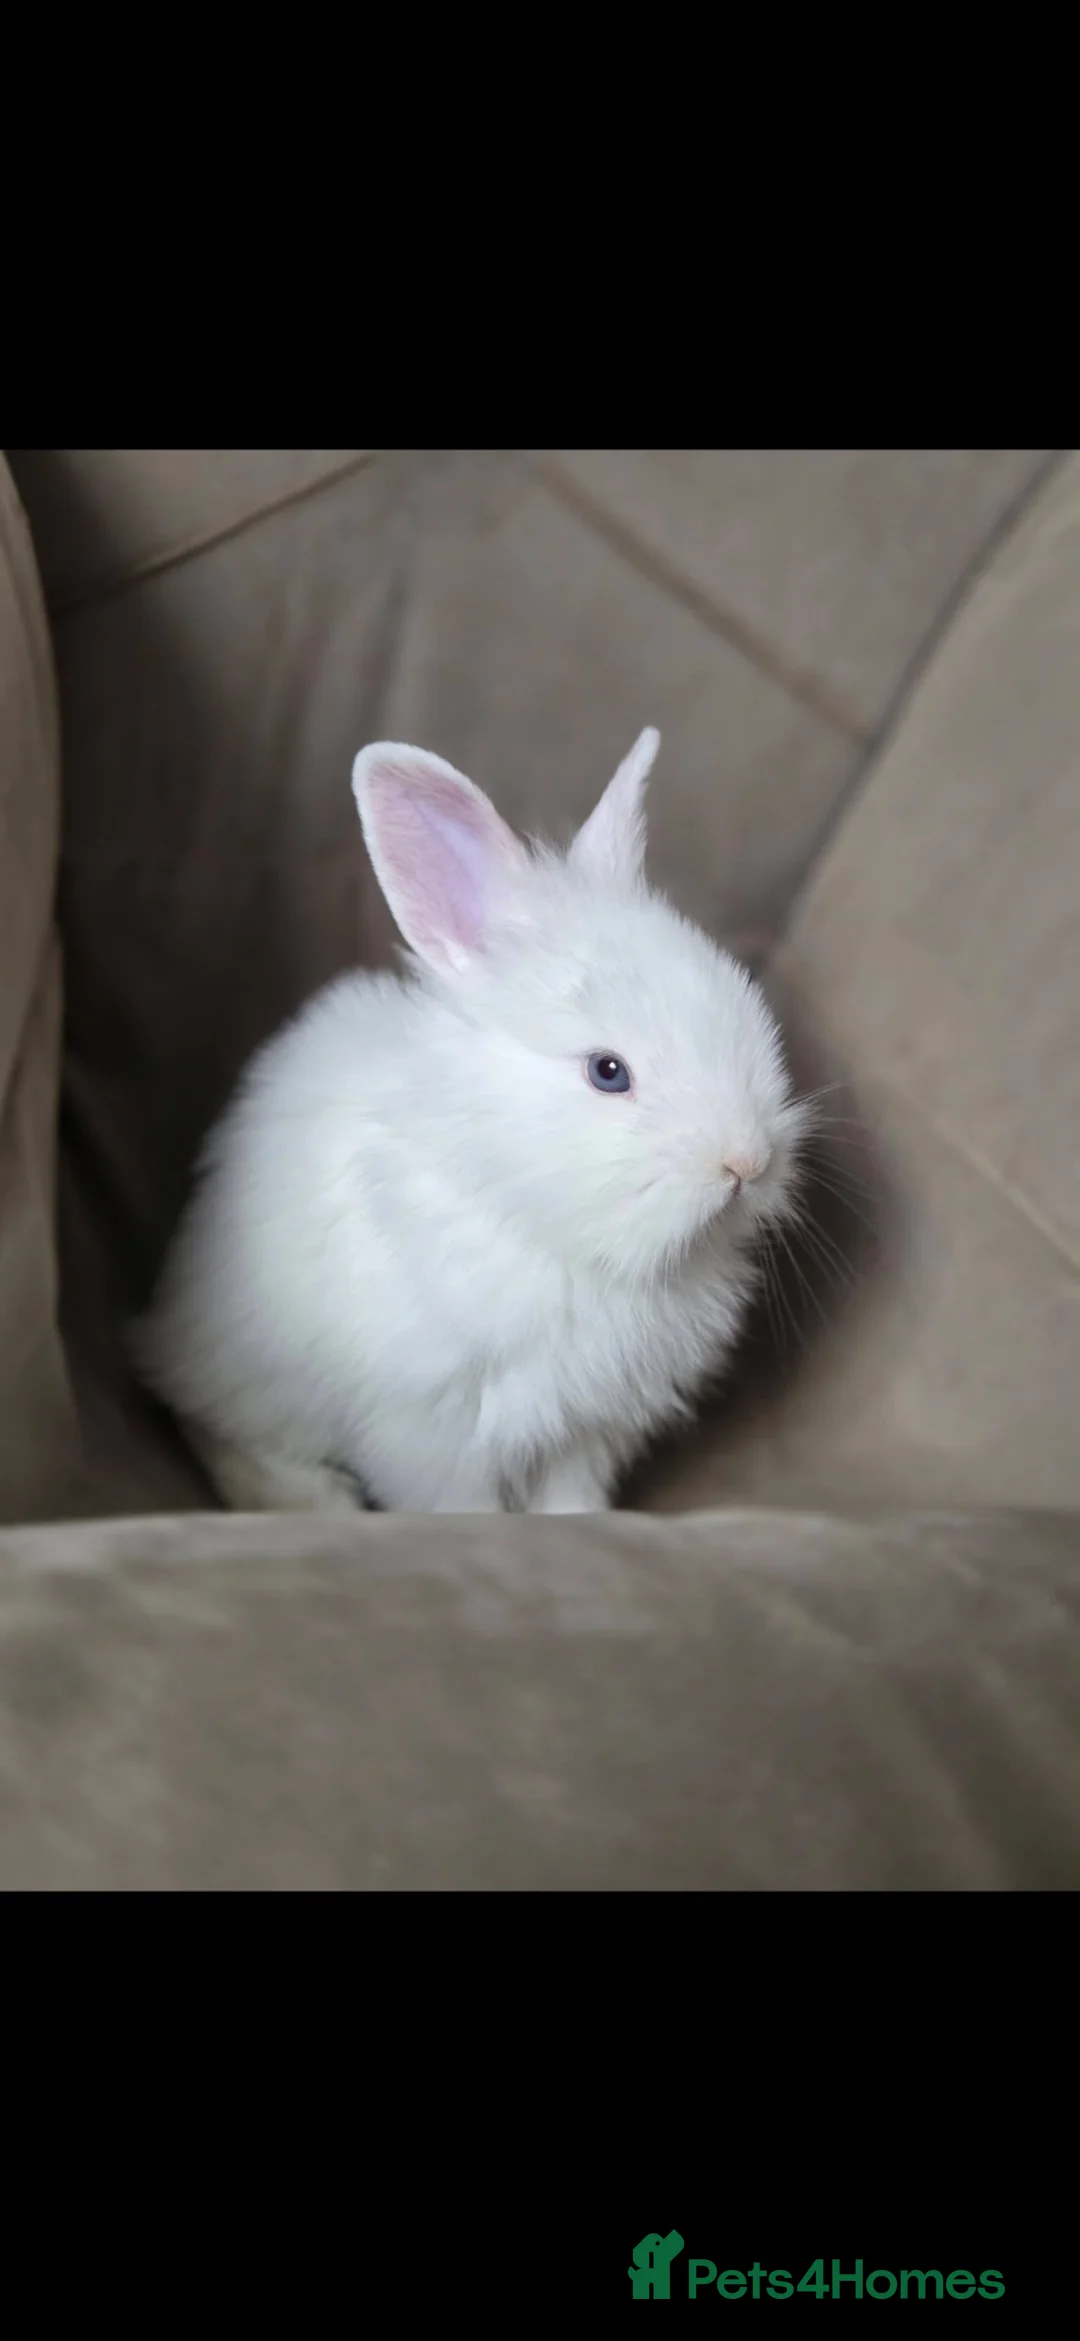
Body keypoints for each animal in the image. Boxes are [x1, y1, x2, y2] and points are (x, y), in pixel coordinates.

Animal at [131, 728, 809, 1515]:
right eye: (608, 1071)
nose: (747, 1163)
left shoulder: (589, 1427)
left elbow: (572, 1498)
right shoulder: (430, 1432)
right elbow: (461, 1511)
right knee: (211, 1426)